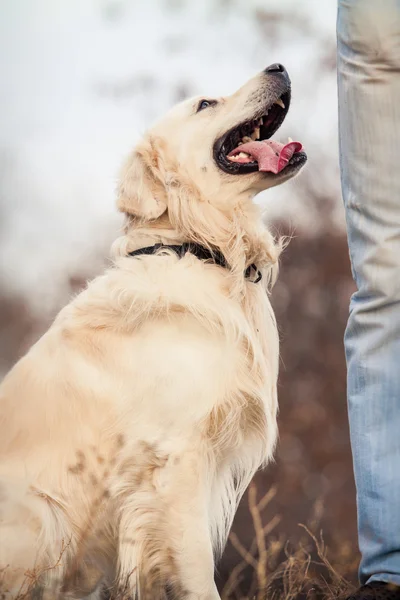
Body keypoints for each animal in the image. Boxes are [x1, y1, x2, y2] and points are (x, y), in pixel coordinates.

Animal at [0, 63, 306, 596]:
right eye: (206, 104)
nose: (279, 67)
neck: (202, 249)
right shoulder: (175, 459)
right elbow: (197, 569)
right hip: (44, 514)